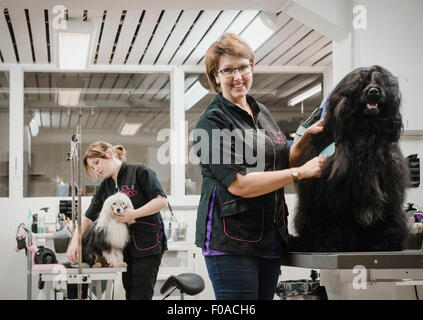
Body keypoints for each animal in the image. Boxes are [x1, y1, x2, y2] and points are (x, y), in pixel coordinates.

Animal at [292, 65, 410, 252]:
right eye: (361, 83)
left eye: (379, 82)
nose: (374, 92)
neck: (365, 131)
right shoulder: (332, 194)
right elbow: (332, 220)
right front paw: (330, 242)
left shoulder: (389, 188)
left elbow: (389, 217)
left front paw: (387, 241)